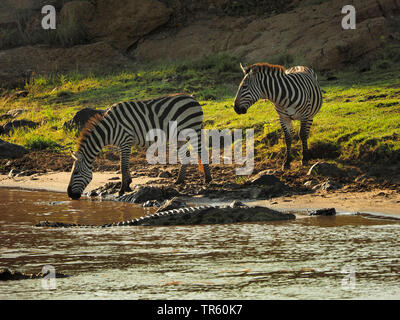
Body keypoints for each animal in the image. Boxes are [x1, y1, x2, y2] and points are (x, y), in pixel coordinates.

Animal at [68, 92, 212, 199]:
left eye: (76, 172)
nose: (69, 195)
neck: (109, 129)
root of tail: (193, 98)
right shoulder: (123, 144)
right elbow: (124, 165)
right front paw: (128, 184)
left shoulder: (125, 140)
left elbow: (123, 165)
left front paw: (122, 189)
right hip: (179, 135)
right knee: (185, 155)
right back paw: (179, 180)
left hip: (192, 129)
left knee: (202, 151)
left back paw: (208, 179)